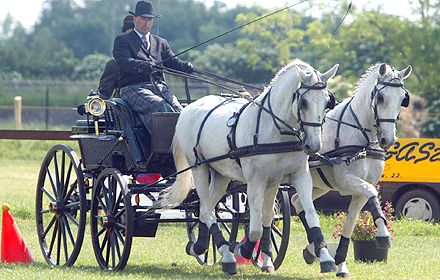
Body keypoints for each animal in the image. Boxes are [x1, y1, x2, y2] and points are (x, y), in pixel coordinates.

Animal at [158, 59, 340, 274]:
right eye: (304, 102)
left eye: (327, 101)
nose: (313, 146)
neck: (274, 130)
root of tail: (189, 108)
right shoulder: (256, 181)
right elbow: (255, 227)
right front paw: (245, 249)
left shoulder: (291, 177)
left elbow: (291, 216)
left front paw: (322, 258)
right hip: (199, 168)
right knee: (206, 209)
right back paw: (227, 256)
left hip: (220, 175)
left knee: (204, 208)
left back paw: (203, 247)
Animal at [292, 64, 412, 278]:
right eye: (381, 97)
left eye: (402, 99)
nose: (388, 140)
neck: (362, 134)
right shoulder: (347, 181)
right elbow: (372, 194)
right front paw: (383, 235)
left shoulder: (361, 189)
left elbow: (350, 222)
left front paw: (341, 264)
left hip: (318, 185)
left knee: (297, 201)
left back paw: (312, 250)